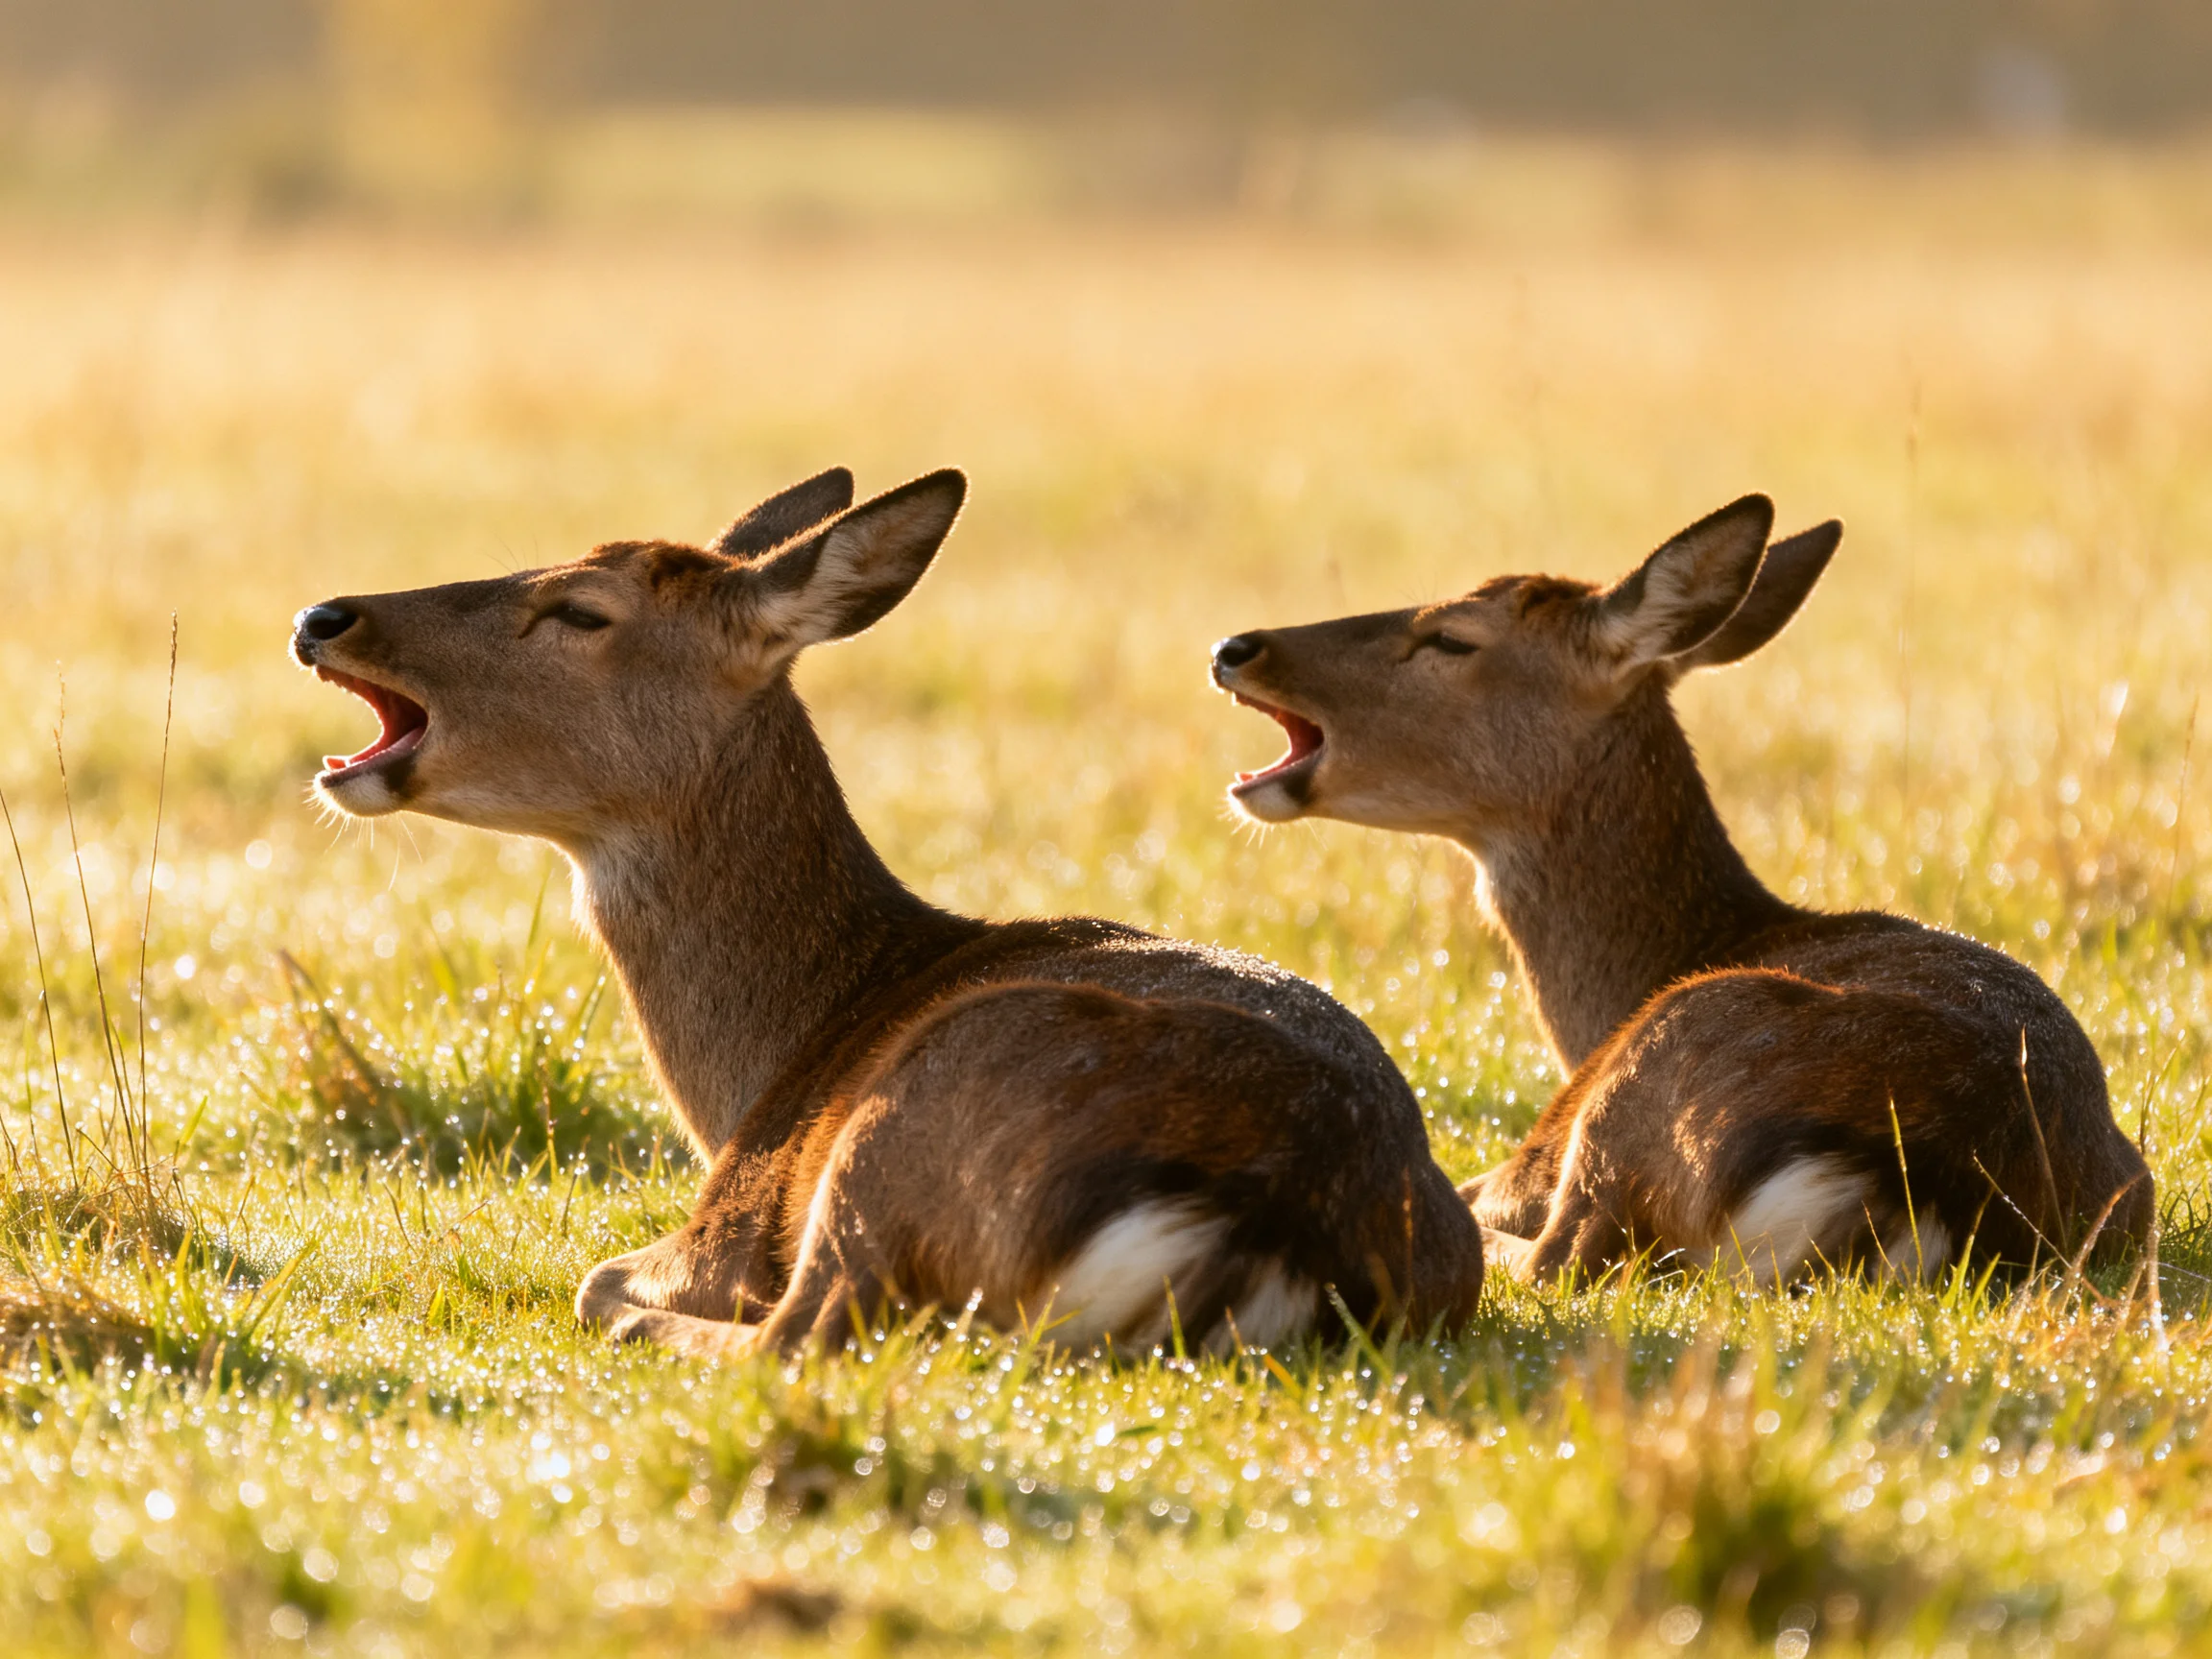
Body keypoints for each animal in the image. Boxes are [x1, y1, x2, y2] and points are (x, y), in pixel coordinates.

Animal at [290, 466, 1484, 1359]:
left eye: (583, 609)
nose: (323, 617)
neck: (772, 1062)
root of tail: (1266, 1223)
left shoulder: (734, 1217)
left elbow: (603, 1276)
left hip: (903, 1131)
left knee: (804, 1329)